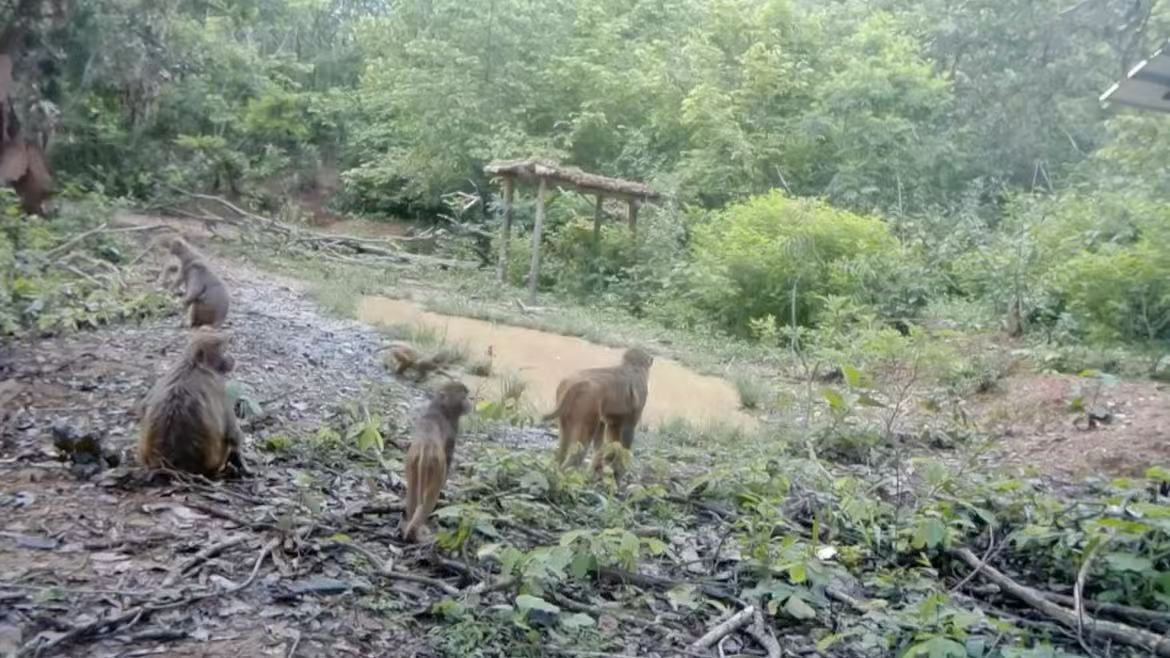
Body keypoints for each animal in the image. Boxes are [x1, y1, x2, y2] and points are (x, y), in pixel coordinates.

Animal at [138, 329, 249, 478]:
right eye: (224, 350)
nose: (232, 358)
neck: (194, 364)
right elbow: (232, 434)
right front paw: (239, 456)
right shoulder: (219, 386)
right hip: (216, 460)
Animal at [400, 381, 473, 542]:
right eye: (464, 397)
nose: (470, 403)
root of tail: (425, 447)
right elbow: (448, 460)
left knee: (413, 493)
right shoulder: (452, 431)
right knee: (430, 497)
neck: (440, 408)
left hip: (412, 461)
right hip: (435, 465)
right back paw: (415, 531)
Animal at [544, 347, 653, 481]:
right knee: (582, 446)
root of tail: (576, 384)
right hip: (587, 403)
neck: (633, 367)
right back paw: (566, 472)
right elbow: (627, 433)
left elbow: (611, 430)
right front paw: (621, 469)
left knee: (565, 441)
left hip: (566, 403)